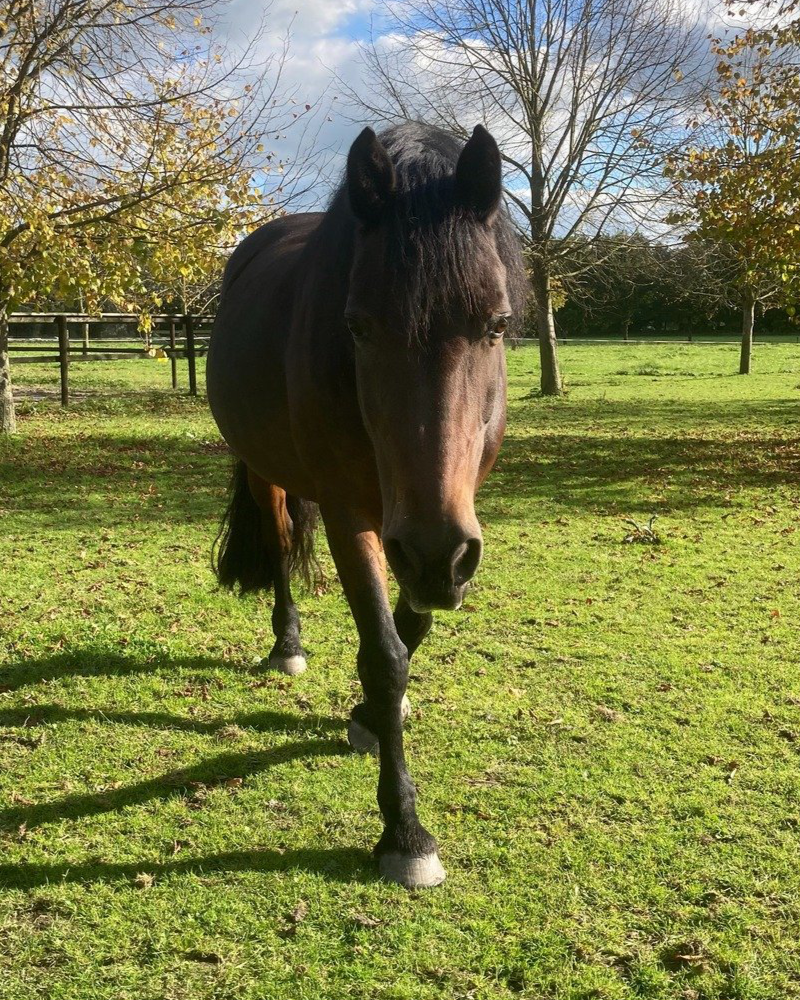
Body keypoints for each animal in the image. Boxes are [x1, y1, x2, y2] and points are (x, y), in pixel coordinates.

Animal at [206, 121, 527, 888]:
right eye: (357, 326)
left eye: (498, 324)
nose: (438, 554)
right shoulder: (356, 518)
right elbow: (384, 655)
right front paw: (405, 832)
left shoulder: (436, 532)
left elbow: (411, 631)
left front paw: (371, 717)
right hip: (265, 470)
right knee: (280, 543)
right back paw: (287, 644)